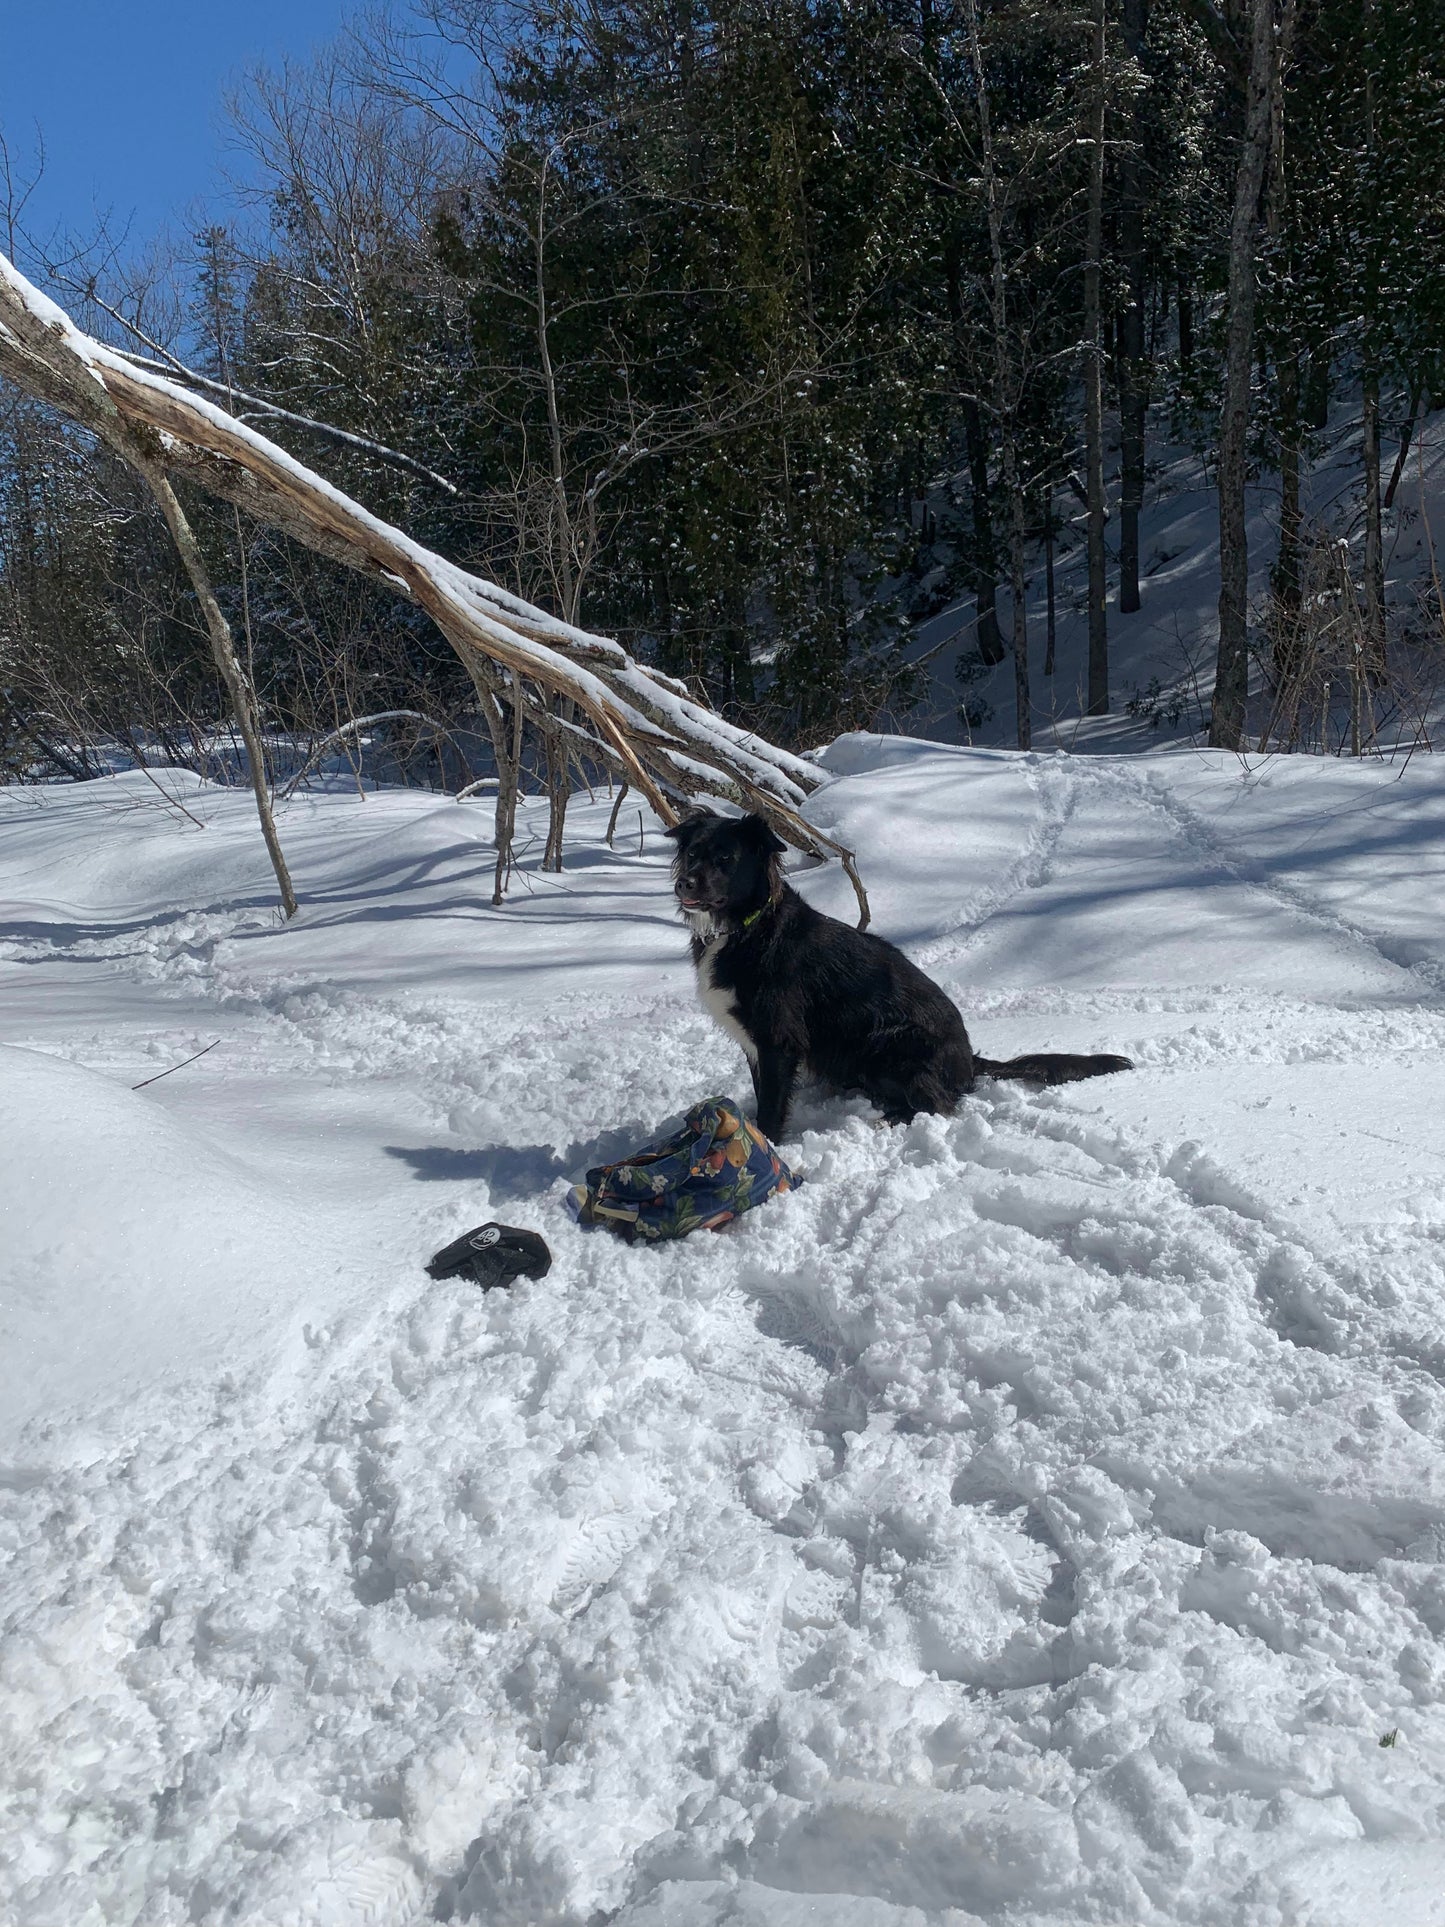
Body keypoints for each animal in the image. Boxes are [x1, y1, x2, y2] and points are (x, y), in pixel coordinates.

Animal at [666, 809, 1132, 1140]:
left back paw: (883, 1121)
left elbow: (772, 1106)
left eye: (725, 858)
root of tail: (968, 1060)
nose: (684, 884)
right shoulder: (755, 1041)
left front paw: (766, 1147)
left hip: (887, 1041)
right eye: (692, 854)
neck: (746, 927)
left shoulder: (778, 1037)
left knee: (939, 1103)